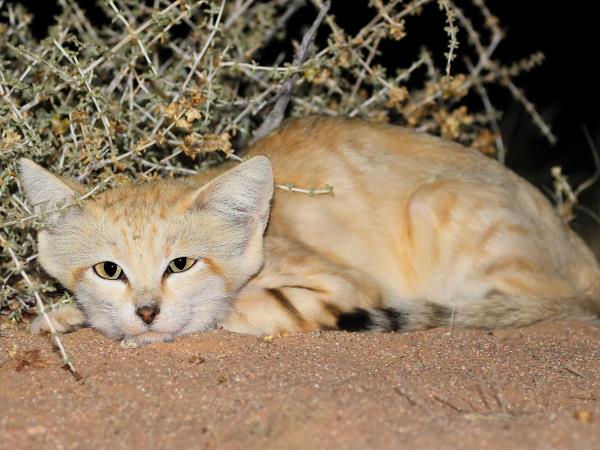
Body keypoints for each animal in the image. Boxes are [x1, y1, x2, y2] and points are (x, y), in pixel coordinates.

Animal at [18, 115, 600, 344]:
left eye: (181, 264)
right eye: (108, 270)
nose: (145, 312)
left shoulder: (346, 287)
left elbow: (236, 307)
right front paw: (66, 316)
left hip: (439, 206)